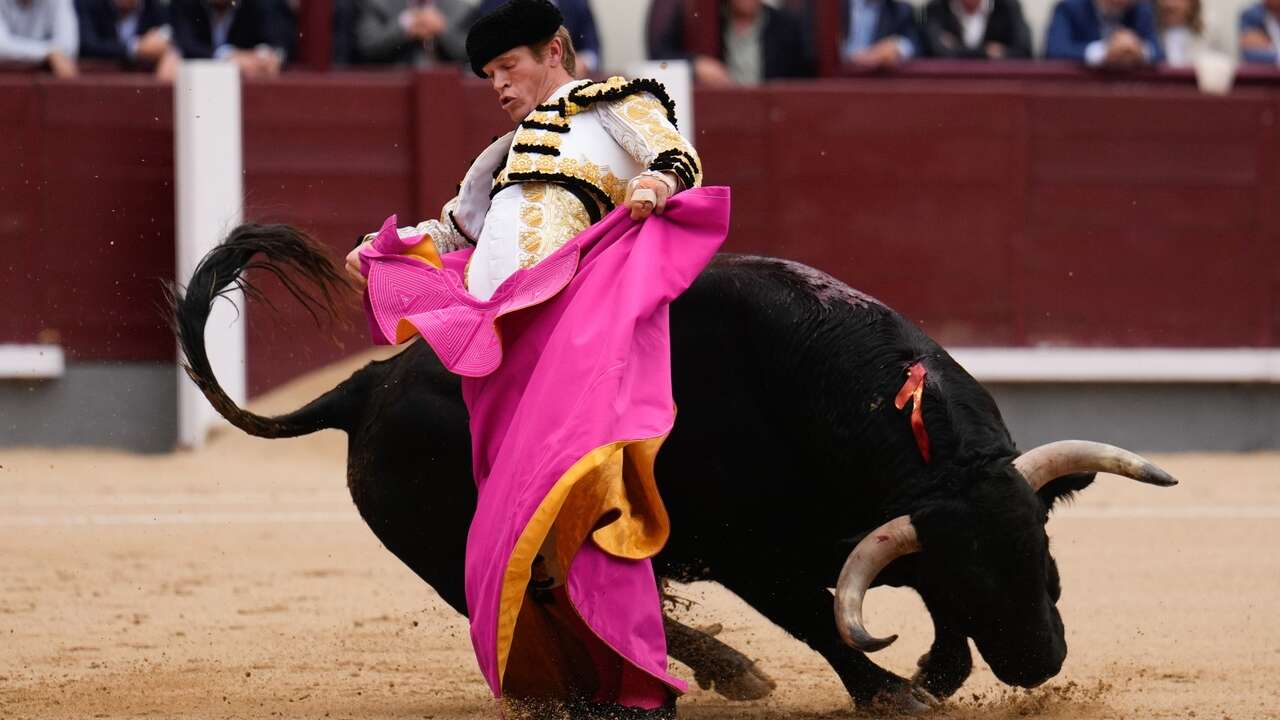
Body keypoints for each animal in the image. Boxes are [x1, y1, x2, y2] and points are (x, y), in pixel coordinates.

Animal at [172, 226, 1177, 707]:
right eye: (983, 579)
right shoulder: (748, 551)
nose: (1041, 664)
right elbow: (819, 620)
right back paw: (699, 677)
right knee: (538, 608)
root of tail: (369, 383)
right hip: (455, 552)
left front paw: (935, 673)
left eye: (1045, 561)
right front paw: (897, 695)